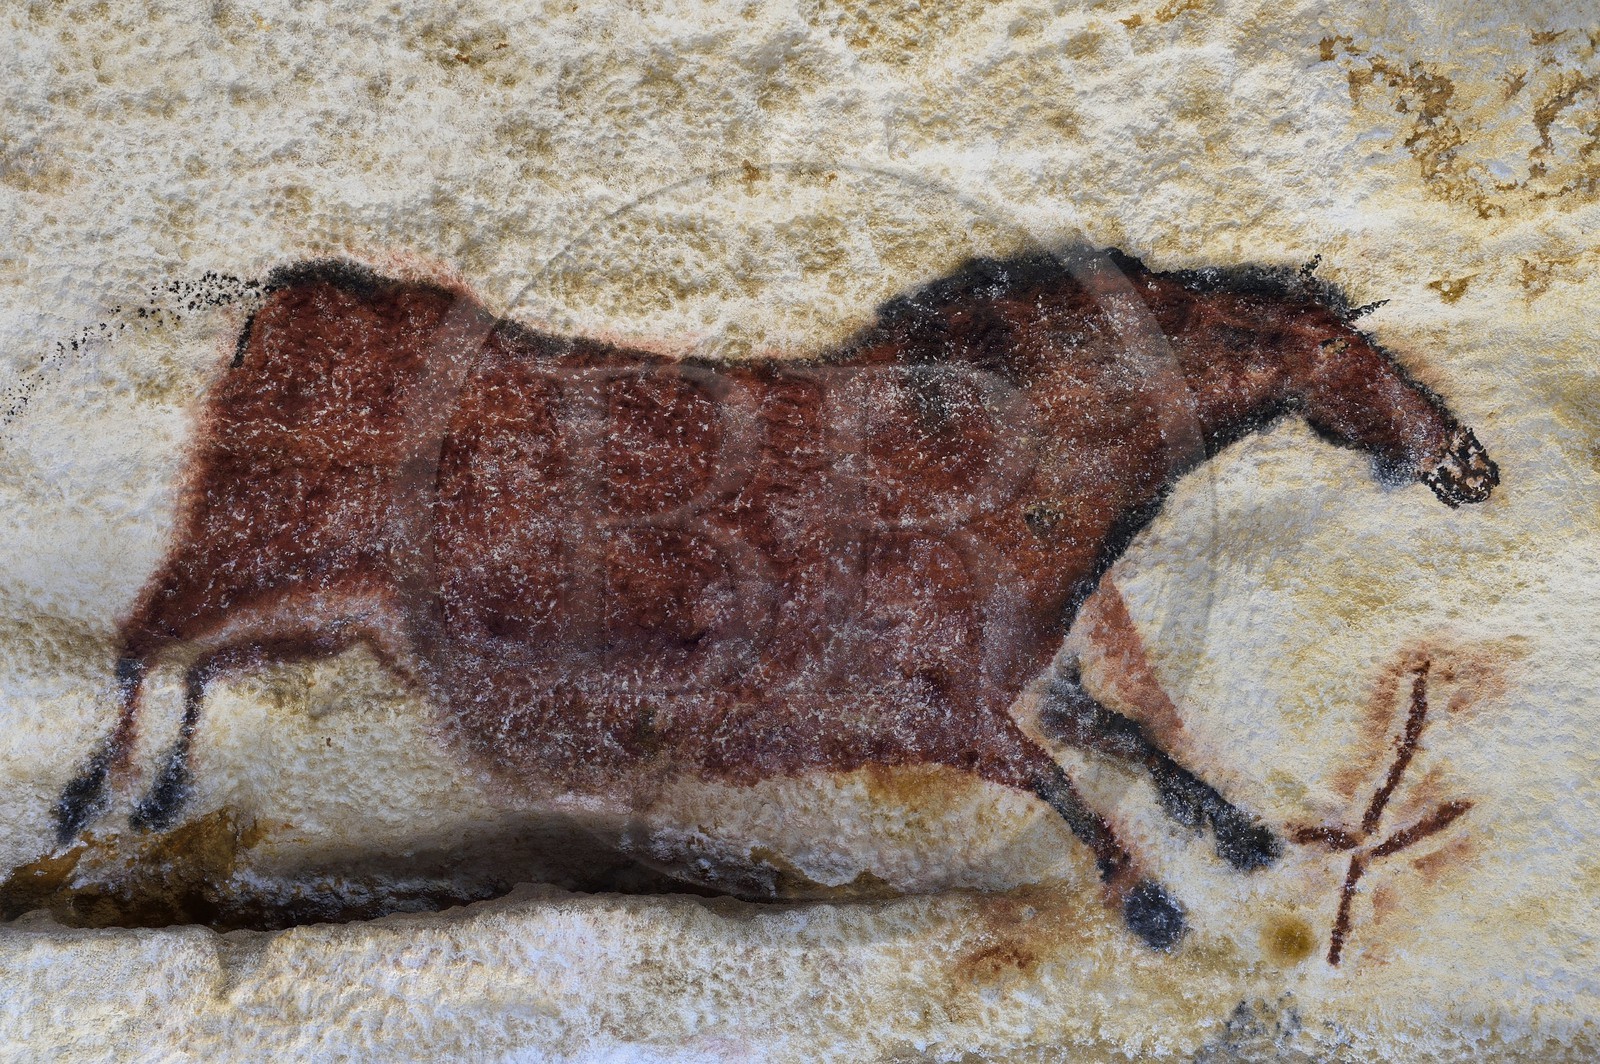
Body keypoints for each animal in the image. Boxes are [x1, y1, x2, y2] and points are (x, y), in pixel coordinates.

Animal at [55, 247, 1498, 949]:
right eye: (1369, 353)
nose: (1472, 461)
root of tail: (282, 295)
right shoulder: (919, 702)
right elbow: (1059, 777)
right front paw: (1151, 904)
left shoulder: (1015, 676)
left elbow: (1122, 737)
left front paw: (1241, 838)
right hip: (247, 542)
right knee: (143, 641)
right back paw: (85, 800)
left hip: (336, 607)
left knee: (204, 662)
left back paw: (163, 793)